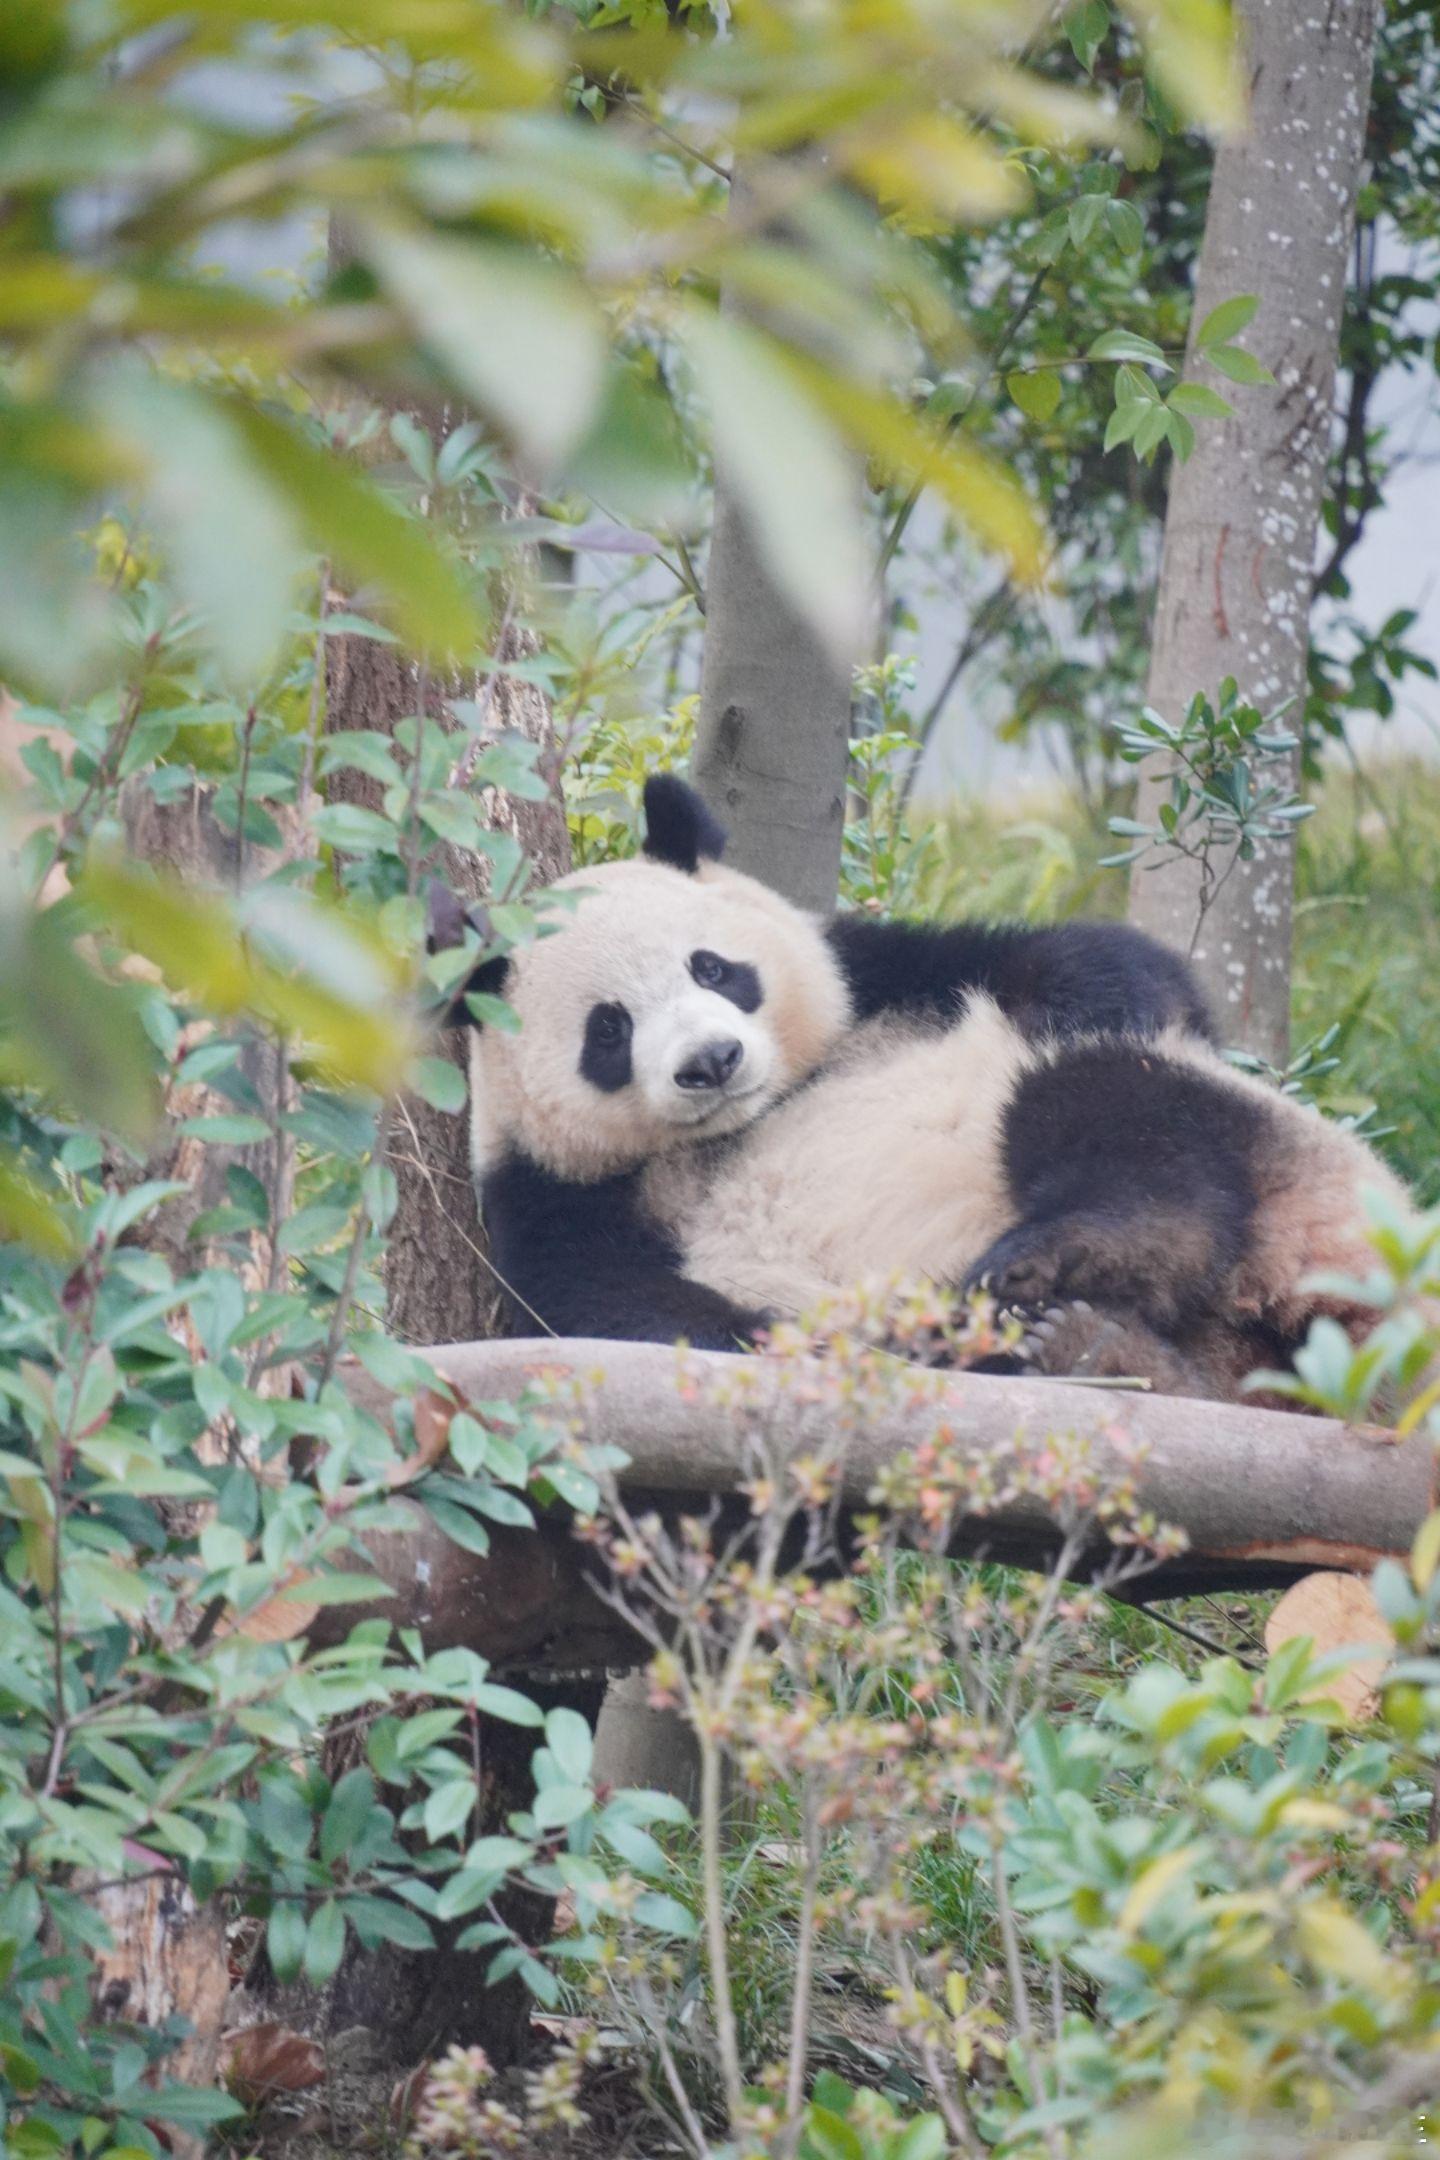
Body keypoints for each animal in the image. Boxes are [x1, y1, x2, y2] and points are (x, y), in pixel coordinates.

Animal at [433, 777, 1416, 1399]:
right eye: (609, 1030)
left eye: (713, 968)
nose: (711, 1062)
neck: (742, 1125)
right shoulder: (559, 1203)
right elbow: (624, 1313)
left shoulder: (882, 981)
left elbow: (1099, 961)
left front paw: (1076, 996)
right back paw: (1107, 1350)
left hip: (1306, 1166)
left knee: (1108, 1108)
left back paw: (1059, 1259)